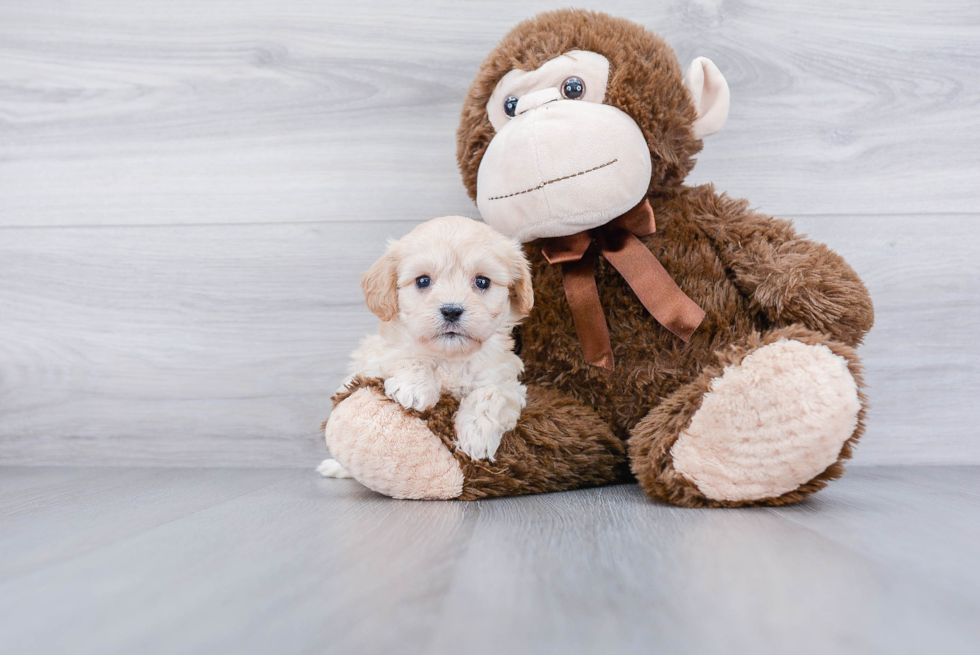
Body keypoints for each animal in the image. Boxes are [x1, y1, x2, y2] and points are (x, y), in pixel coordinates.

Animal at [318, 218, 532, 480]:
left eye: (482, 281)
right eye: (423, 281)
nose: (451, 310)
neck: (450, 357)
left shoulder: (507, 379)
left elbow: (492, 393)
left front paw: (477, 435)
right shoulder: (379, 356)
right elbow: (407, 356)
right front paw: (415, 388)